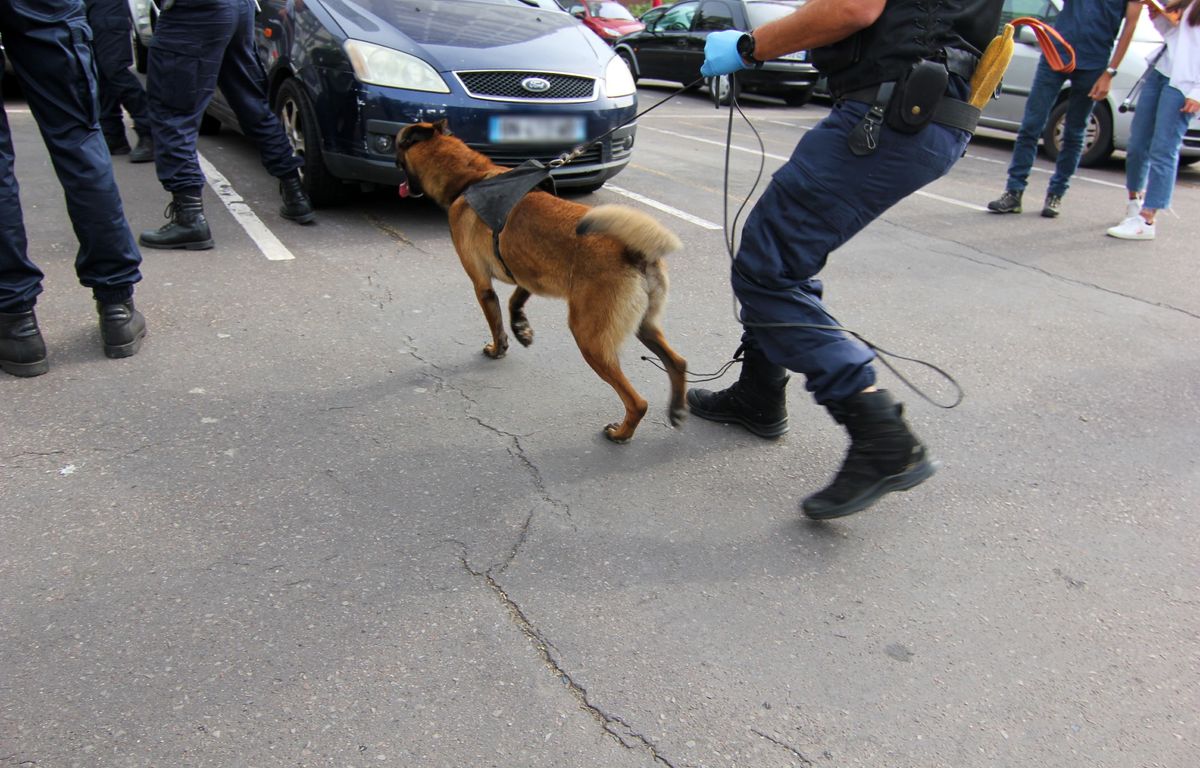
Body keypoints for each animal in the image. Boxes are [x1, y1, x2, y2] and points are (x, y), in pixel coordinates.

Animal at [398, 120, 691, 444]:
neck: (470, 178)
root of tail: (634, 251)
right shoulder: (526, 275)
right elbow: (514, 301)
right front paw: (521, 328)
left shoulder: (482, 285)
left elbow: (496, 320)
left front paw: (498, 348)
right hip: (644, 325)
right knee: (677, 362)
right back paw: (677, 408)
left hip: (589, 339)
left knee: (637, 401)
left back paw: (621, 432)